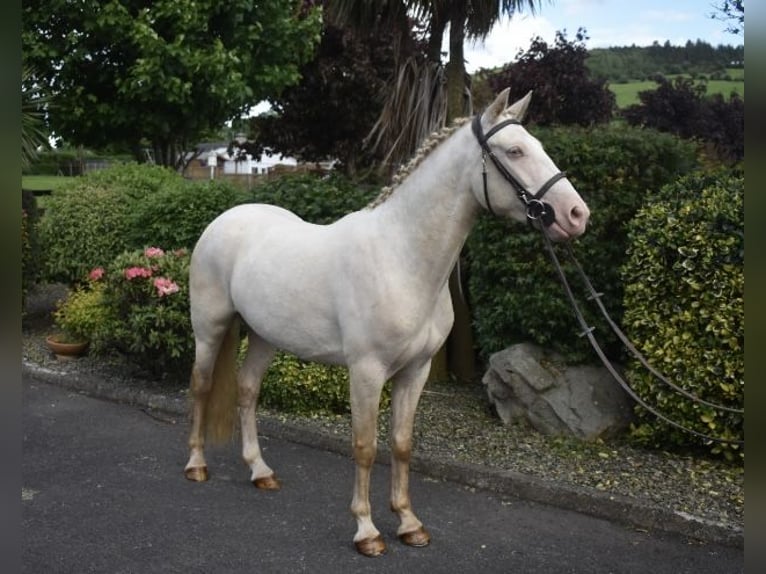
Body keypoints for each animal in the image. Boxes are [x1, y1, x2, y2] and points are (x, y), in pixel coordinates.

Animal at [183, 90, 592, 560]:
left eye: (537, 145)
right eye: (514, 151)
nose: (577, 215)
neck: (402, 256)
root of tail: (225, 220)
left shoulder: (415, 372)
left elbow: (401, 444)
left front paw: (409, 524)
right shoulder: (366, 371)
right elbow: (365, 447)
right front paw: (367, 530)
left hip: (266, 336)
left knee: (248, 390)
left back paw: (260, 470)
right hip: (210, 329)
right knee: (201, 386)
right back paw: (196, 465)